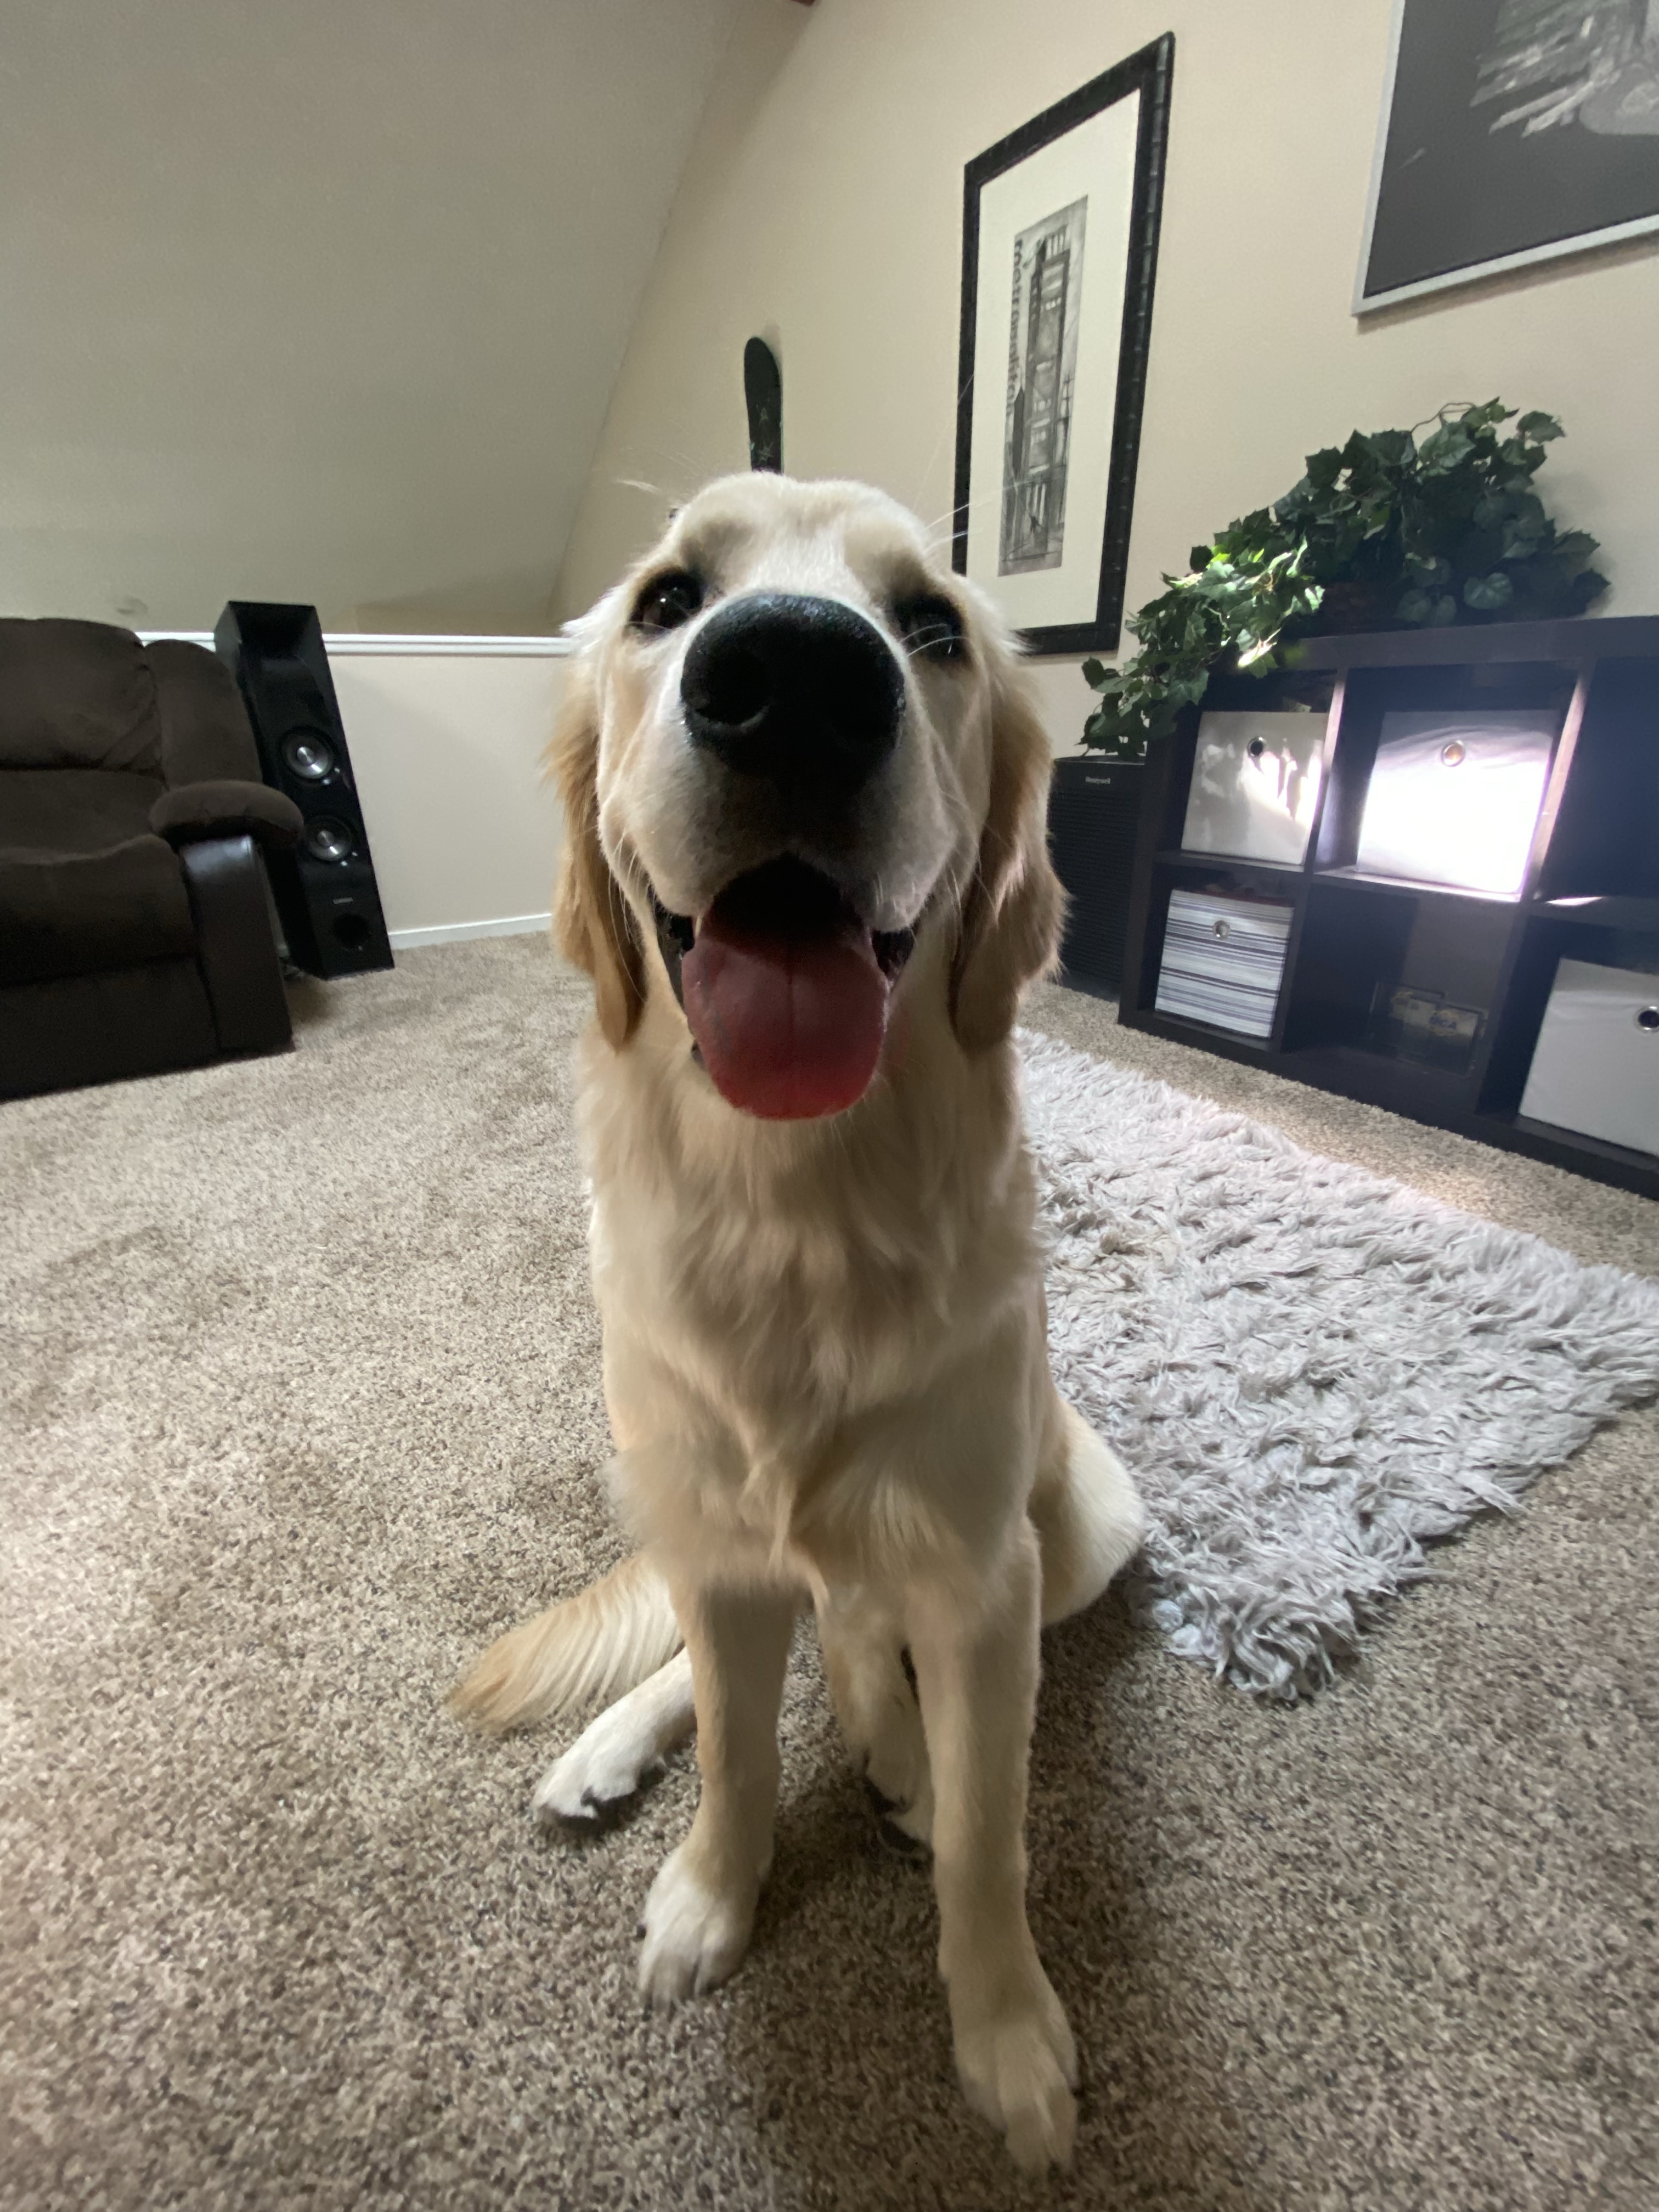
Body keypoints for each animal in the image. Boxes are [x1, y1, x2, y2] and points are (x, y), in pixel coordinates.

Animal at [453, 472, 1145, 2172]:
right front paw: (713, 1892)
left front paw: (1006, 2036)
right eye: (665, 600)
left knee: (868, 1638)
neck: (796, 1206)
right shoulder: (713, 1528)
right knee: (757, 1650)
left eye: (932, 628)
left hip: (1088, 1526)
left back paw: (898, 1750)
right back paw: (615, 1748)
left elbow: (990, 1837)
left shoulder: (981, 1572)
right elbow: (739, 1745)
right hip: (704, 1512)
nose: (794, 680)